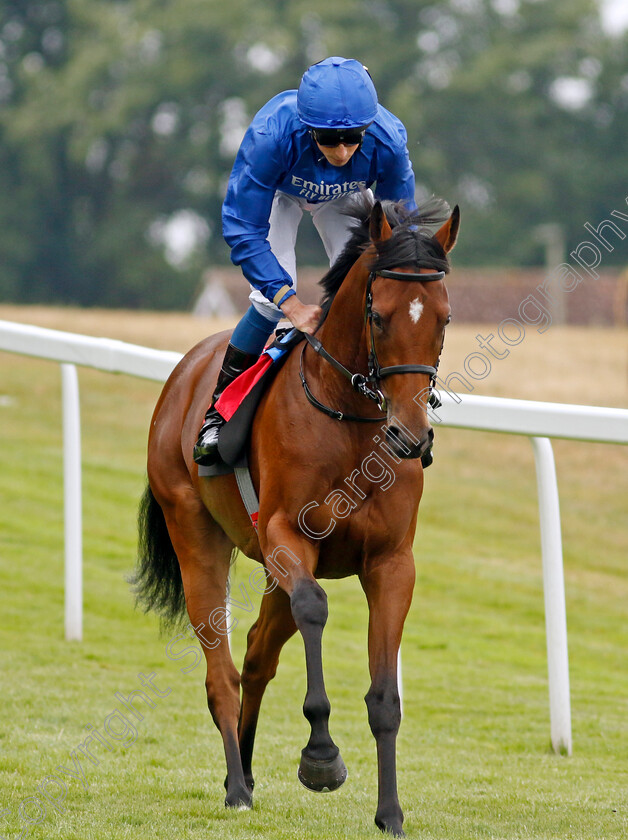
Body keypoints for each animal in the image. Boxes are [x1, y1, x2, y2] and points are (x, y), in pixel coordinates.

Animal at [134, 197, 456, 832]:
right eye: (378, 315)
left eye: (444, 318)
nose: (410, 436)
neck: (352, 421)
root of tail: (185, 371)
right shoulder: (288, 535)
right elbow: (315, 606)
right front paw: (321, 756)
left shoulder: (391, 562)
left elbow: (385, 697)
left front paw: (390, 812)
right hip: (196, 533)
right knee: (222, 670)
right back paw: (237, 785)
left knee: (258, 652)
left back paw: (245, 772)